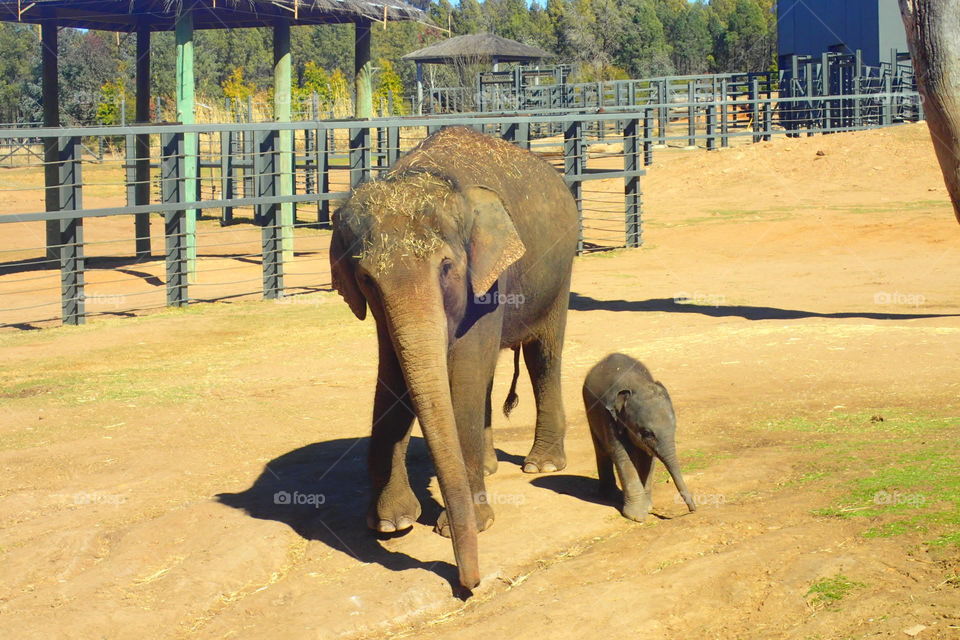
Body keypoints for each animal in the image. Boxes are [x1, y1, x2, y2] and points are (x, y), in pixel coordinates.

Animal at [329, 126, 579, 589]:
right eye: (366, 278)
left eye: (446, 266)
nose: (470, 582)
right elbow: (393, 377)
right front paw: (392, 524)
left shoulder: (489, 279)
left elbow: (463, 376)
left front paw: (472, 524)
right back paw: (493, 467)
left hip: (560, 270)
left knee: (543, 355)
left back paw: (542, 466)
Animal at [582, 353, 697, 521]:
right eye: (648, 433)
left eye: (674, 427)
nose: (693, 510)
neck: (636, 384)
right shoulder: (609, 418)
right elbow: (623, 457)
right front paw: (637, 516)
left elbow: (647, 458)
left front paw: (647, 507)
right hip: (589, 411)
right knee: (601, 449)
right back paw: (608, 495)